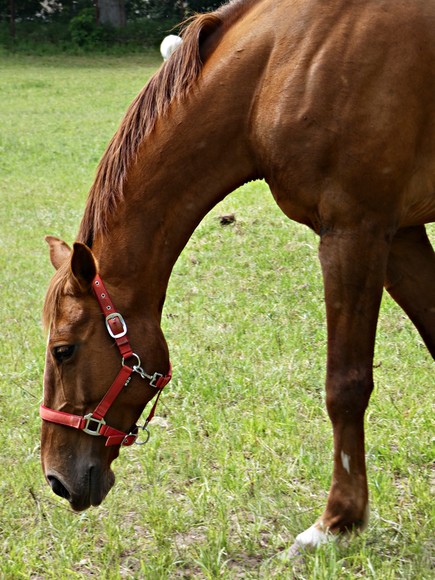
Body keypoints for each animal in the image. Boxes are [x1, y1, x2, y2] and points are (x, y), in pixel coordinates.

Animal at [39, 0, 435, 552]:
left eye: (64, 350)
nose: (56, 478)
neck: (280, 65)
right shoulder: (401, 236)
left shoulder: (356, 231)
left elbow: (346, 384)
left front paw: (337, 521)